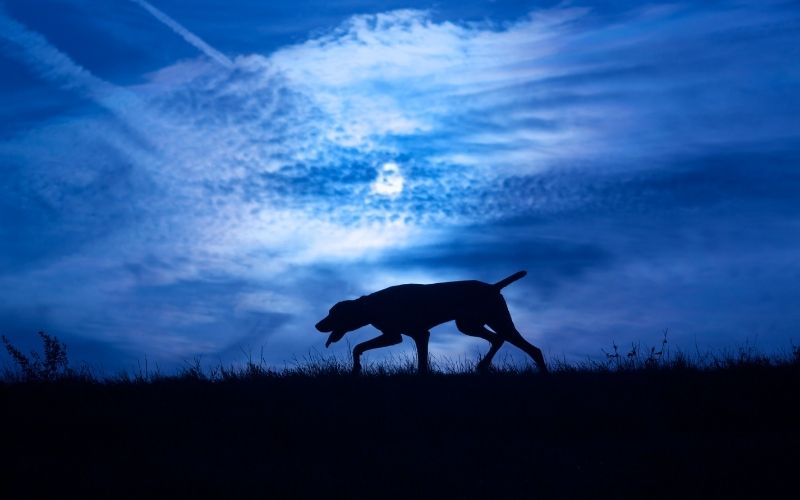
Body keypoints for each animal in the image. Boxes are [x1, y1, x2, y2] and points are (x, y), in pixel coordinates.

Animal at [316, 272, 548, 374]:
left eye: (333, 313)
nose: (317, 325)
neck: (371, 305)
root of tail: (493, 286)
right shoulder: (414, 335)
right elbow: (422, 362)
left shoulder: (397, 336)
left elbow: (357, 347)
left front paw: (356, 368)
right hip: (468, 324)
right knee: (498, 341)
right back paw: (482, 366)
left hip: (497, 322)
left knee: (532, 349)